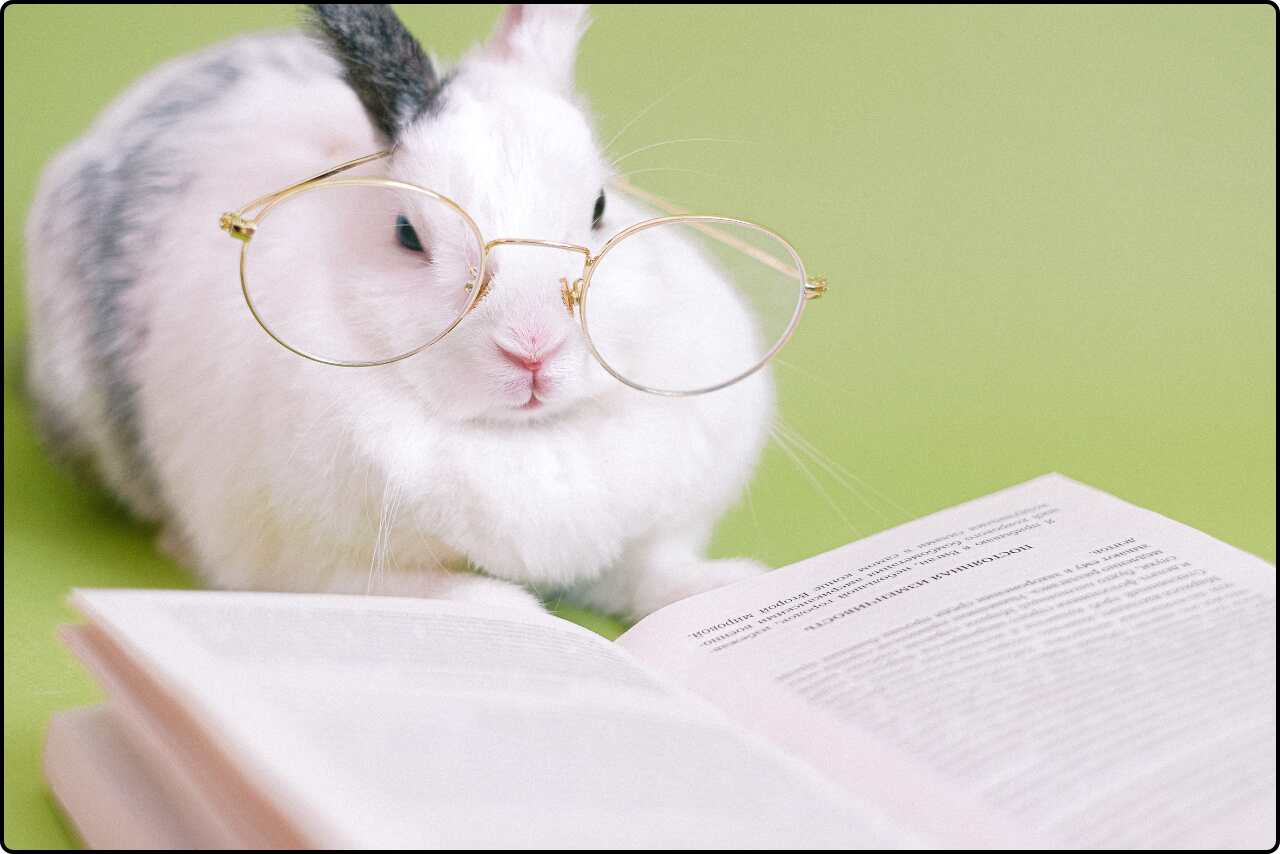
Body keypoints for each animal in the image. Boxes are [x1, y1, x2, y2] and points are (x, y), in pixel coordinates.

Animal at [24, 5, 773, 622]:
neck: (524, 439)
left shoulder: (645, 537)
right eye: (407, 234)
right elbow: (442, 594)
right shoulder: (314, 566)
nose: (533, 348)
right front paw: (518, 614)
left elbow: (652, 573)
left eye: (599, 208)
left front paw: (729, 584)